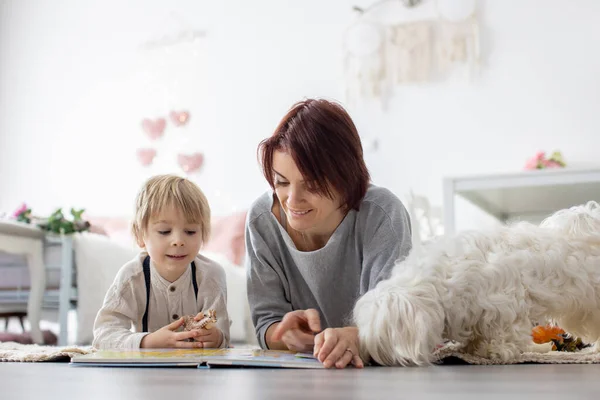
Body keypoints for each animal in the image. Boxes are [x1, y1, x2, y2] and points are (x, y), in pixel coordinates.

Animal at [354, 200, 600, 366]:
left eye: (383, 338)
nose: (370, 356)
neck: (438, 284)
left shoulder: (504, 305)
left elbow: (505, 333)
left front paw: (493, 351)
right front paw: (471, 347)